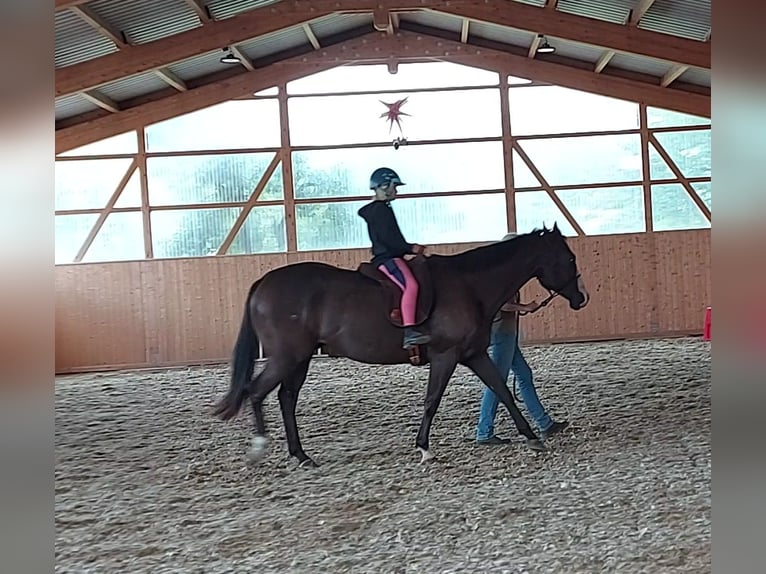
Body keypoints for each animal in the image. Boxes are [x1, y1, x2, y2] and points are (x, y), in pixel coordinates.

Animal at [213, 223, 589, 467]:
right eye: (569, 259)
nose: (581, 298)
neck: (468, 285)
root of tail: (264, 282)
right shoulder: (446, 356)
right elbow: (432, 400)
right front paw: (424, 449)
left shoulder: (474, 354)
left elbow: (502, 390)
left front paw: (533, 437)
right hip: (286, 356)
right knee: (256, 392)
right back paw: (260, 450)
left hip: (299, 359)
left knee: (285, 398)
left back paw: (301, 455)